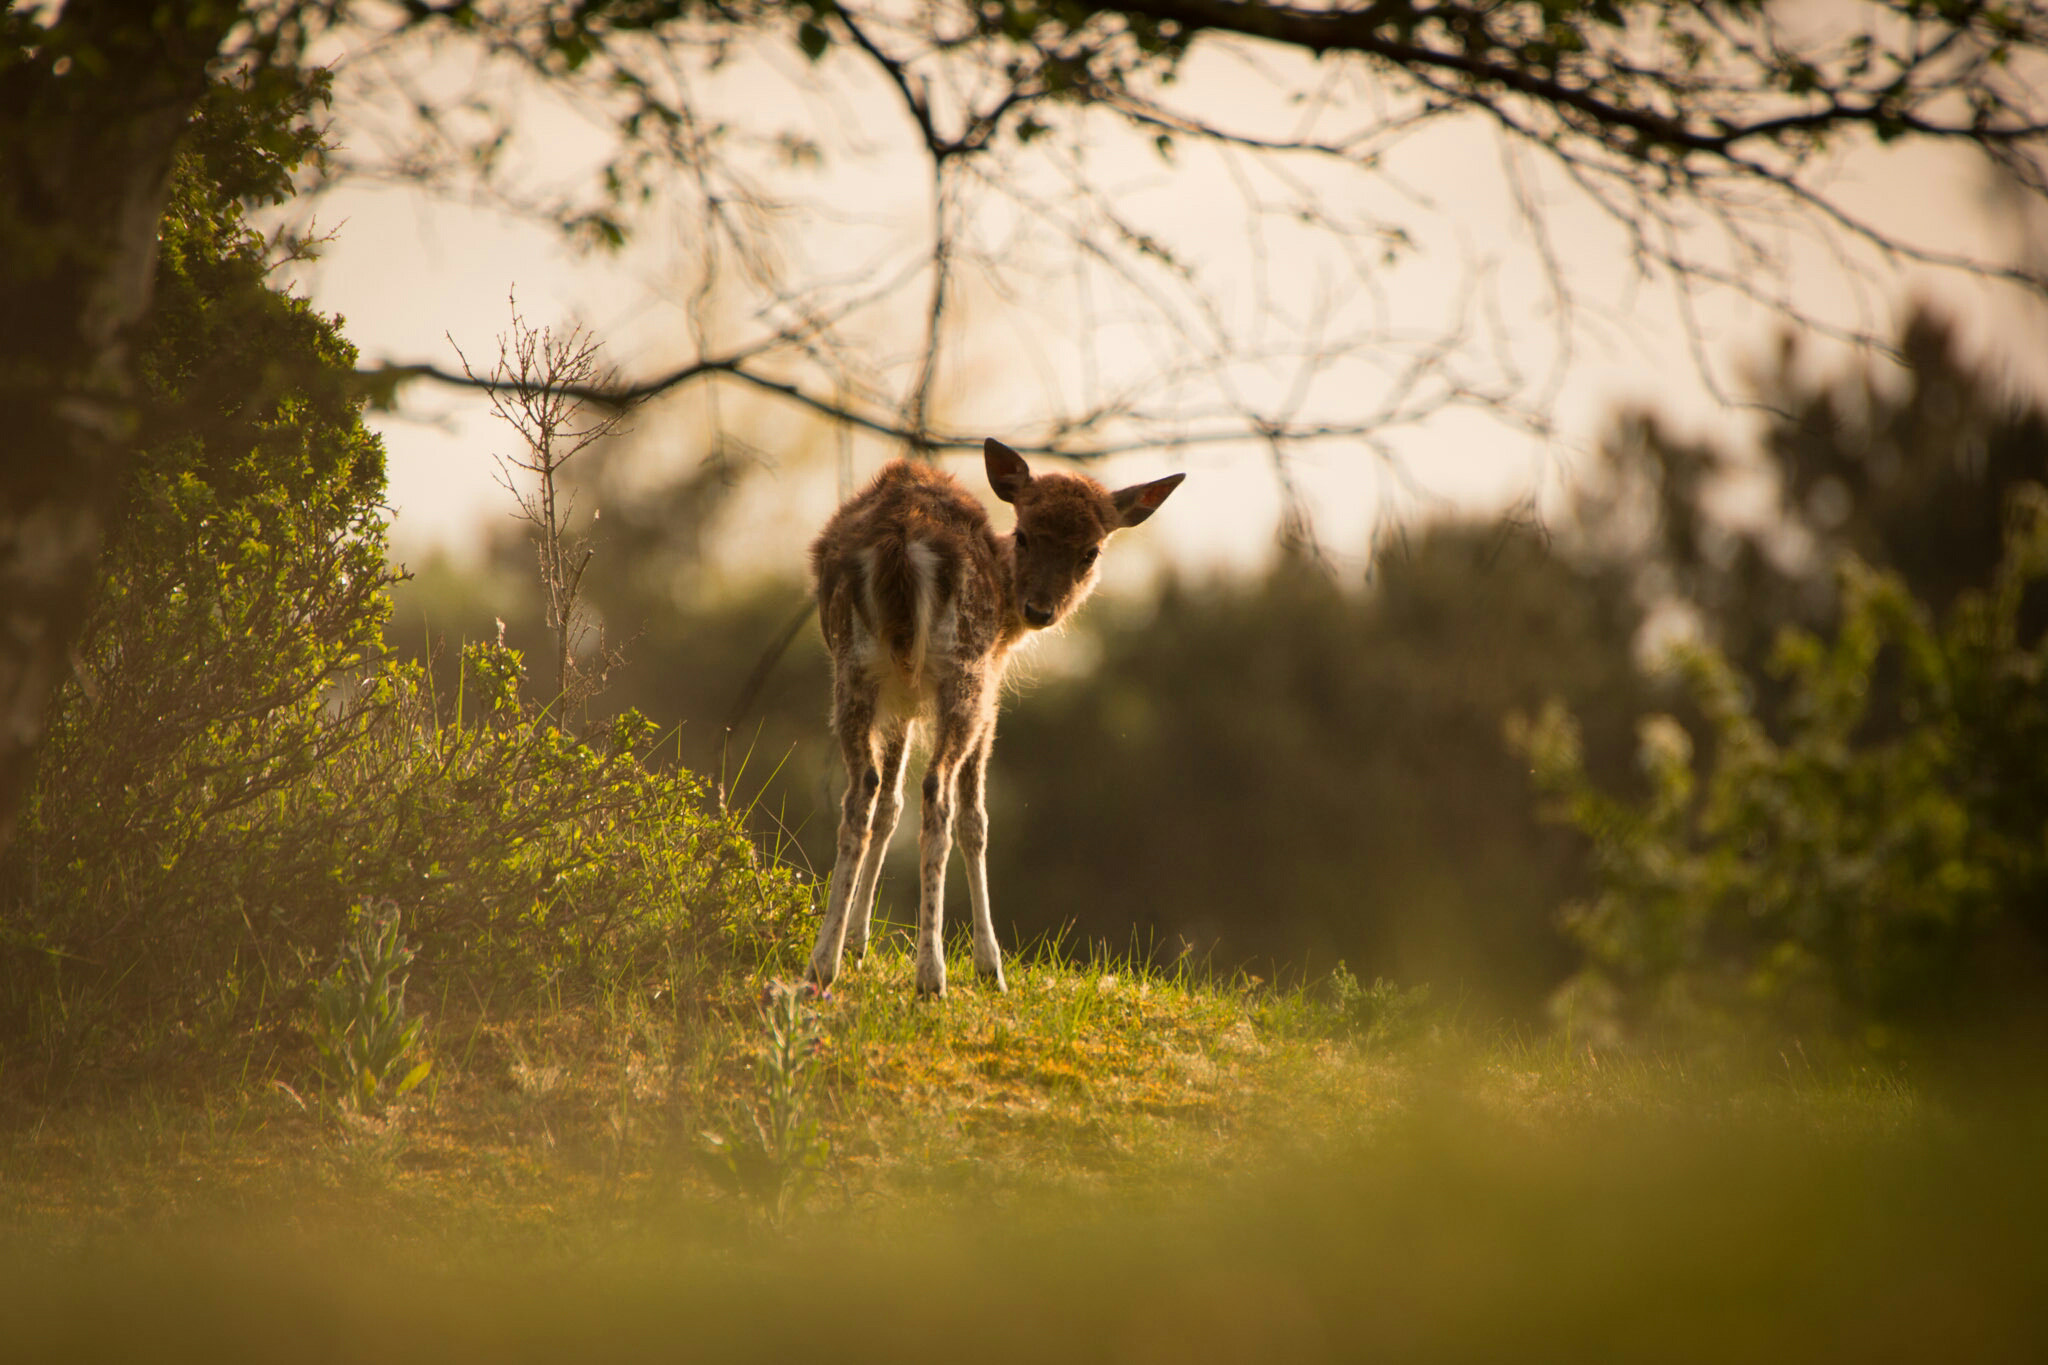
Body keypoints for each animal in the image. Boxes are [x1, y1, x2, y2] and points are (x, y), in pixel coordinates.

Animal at [802, 444, 1187, 998]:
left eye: (1090, 551)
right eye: (1023, 533)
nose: (1040, 610)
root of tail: (900, 543)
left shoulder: (902, 698)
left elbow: (888, 806)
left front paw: (858, 942)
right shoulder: (989, 690)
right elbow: (975, 818)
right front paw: (991, 966)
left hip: (854, 672)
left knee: (862, 793)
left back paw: (822, 963)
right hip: (964, 674)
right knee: (937, 795)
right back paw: (932, 975)